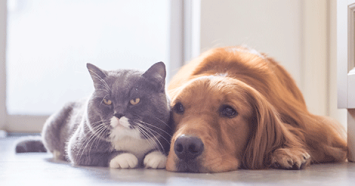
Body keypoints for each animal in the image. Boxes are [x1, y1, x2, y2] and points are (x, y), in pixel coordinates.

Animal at [16, 62, 172, 169]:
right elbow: (96, 156)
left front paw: (157, 156)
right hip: (51, 125)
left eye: (135, 100)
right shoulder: (78, 146)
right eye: (107, 101)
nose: (118, 114)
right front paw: (124, 158)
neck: (129, 138)